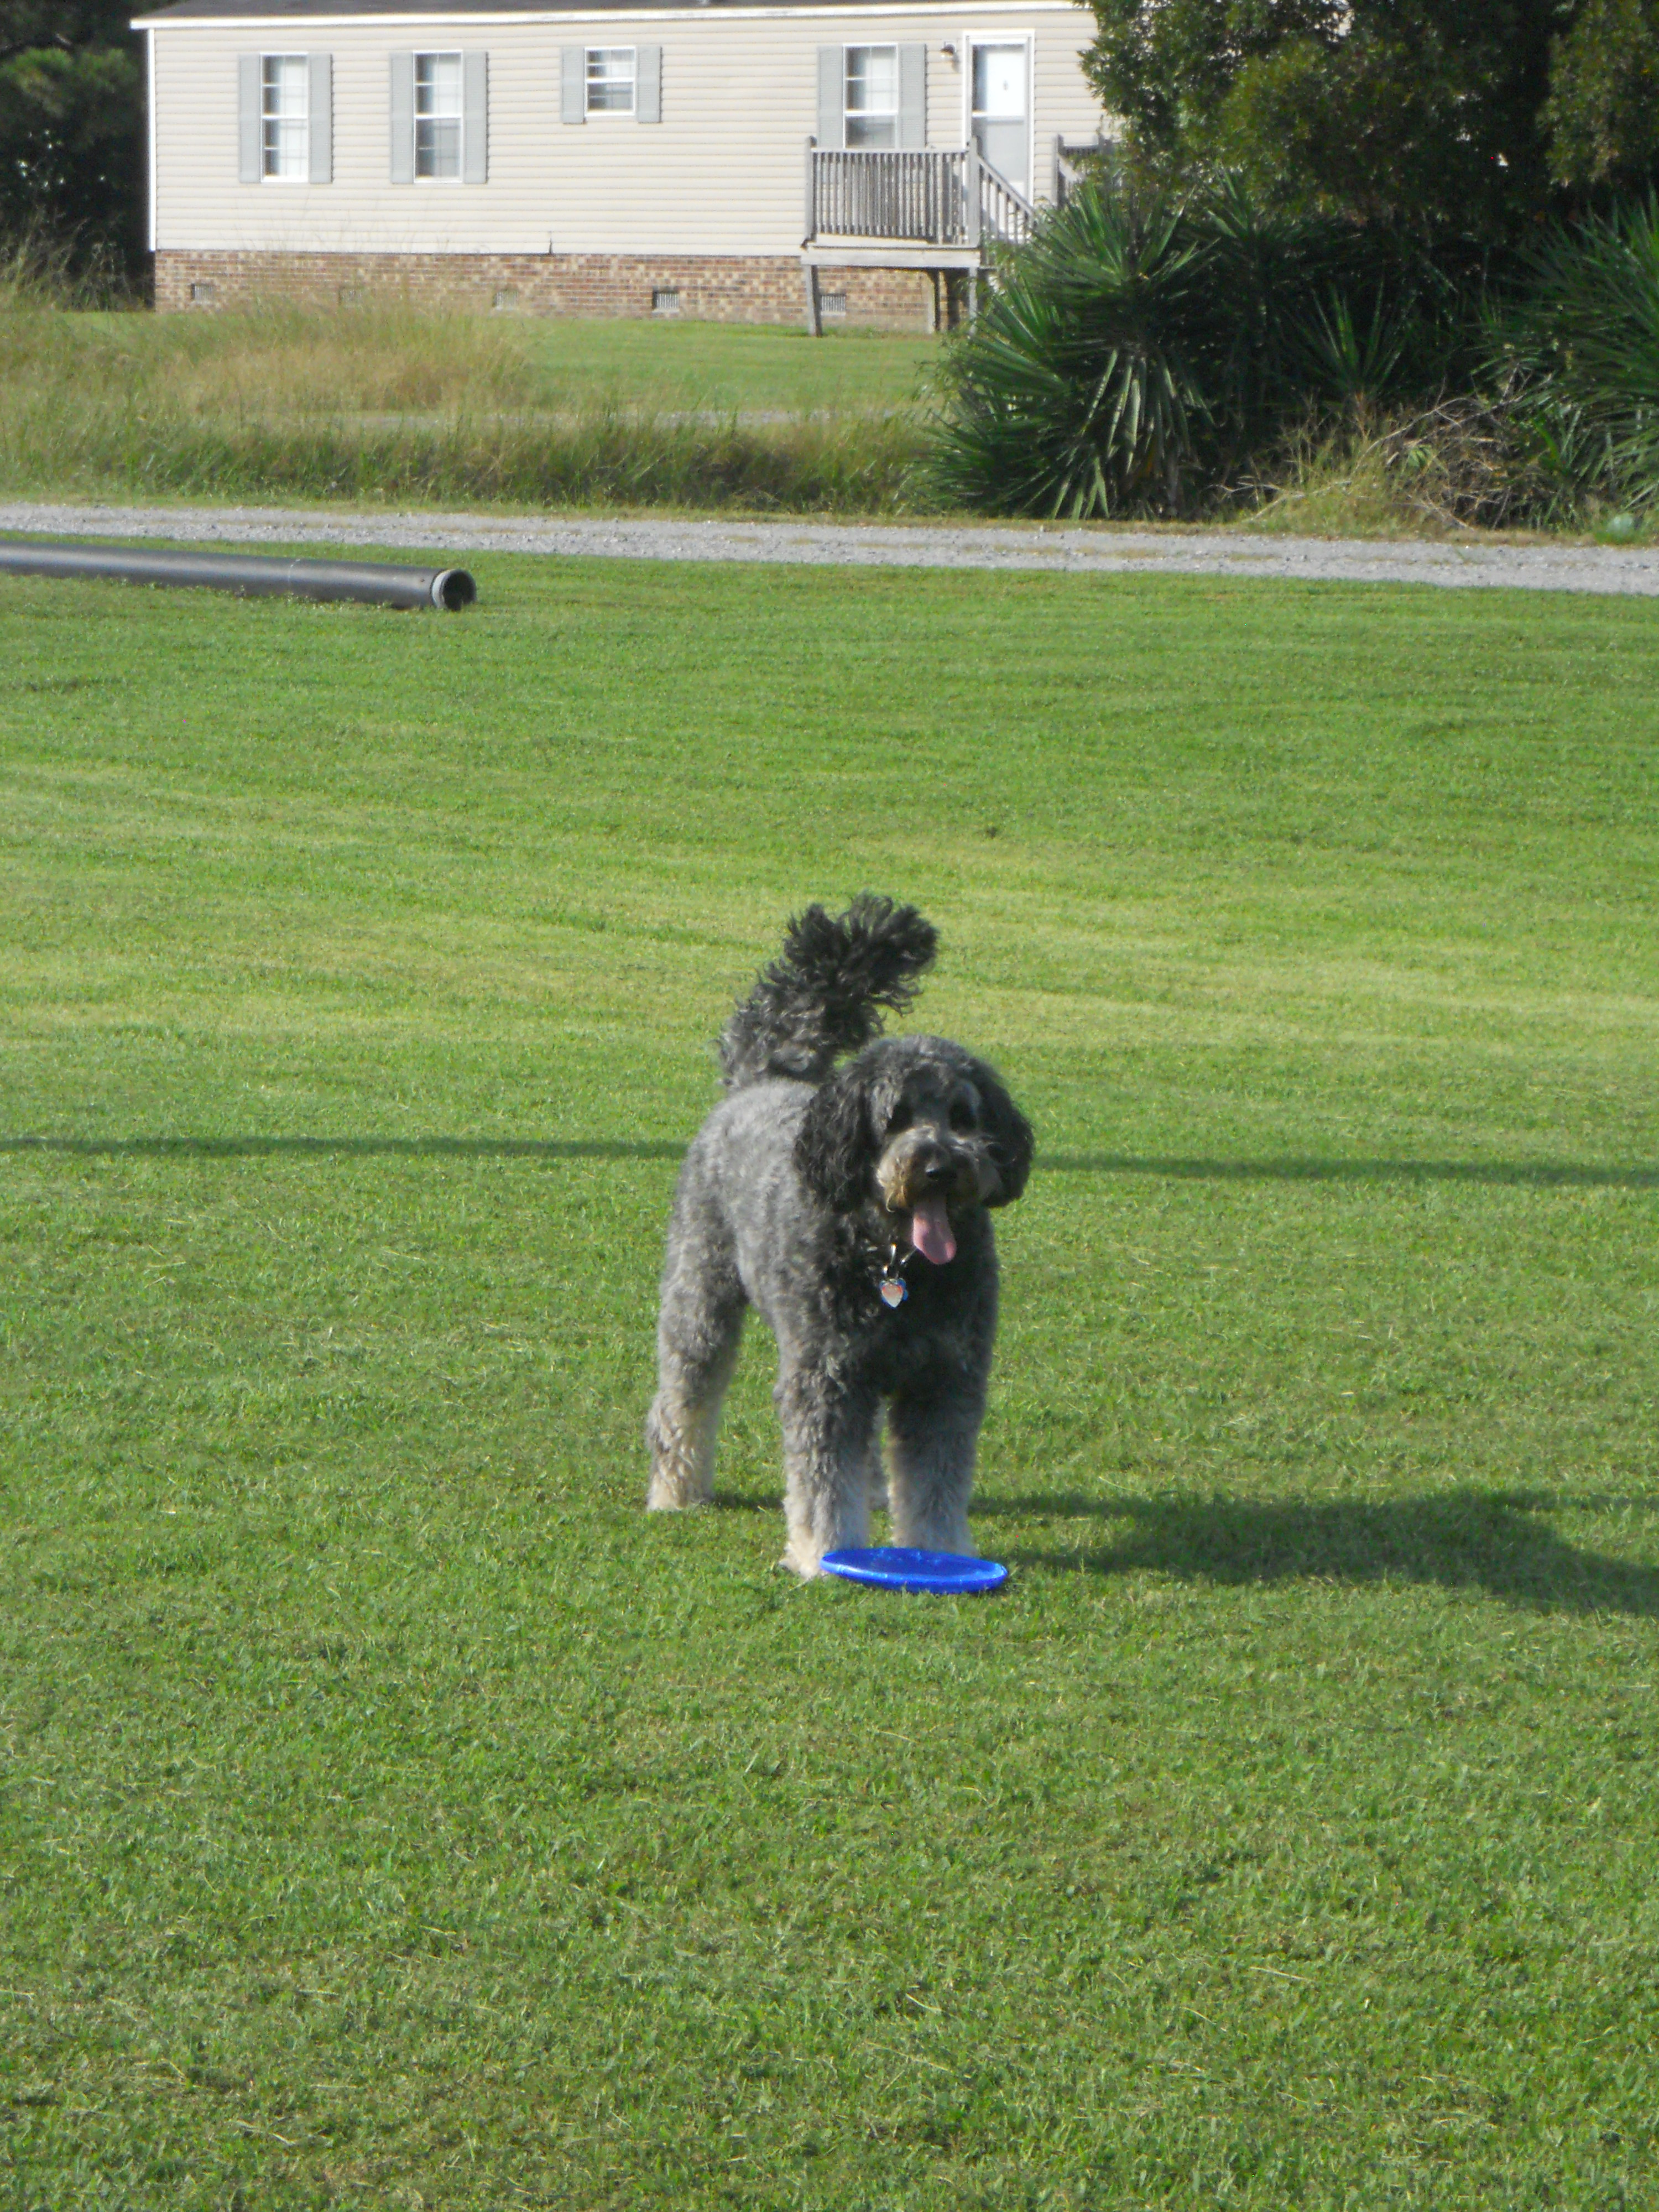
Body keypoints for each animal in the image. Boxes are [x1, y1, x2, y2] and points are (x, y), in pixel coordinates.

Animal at [646, 896, 1032, 1576]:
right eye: (896, 1117)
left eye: (963, 1116)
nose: (940, 1167)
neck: (899, 1265)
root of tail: (759, 1081)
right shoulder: (825, 1375)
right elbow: (823, 1479)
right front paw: (823, 1553)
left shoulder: (944, 1381)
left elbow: (936, 1480)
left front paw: (937, 1552)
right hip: (701, 1299)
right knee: (683, 1398)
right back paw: (674, 1491)